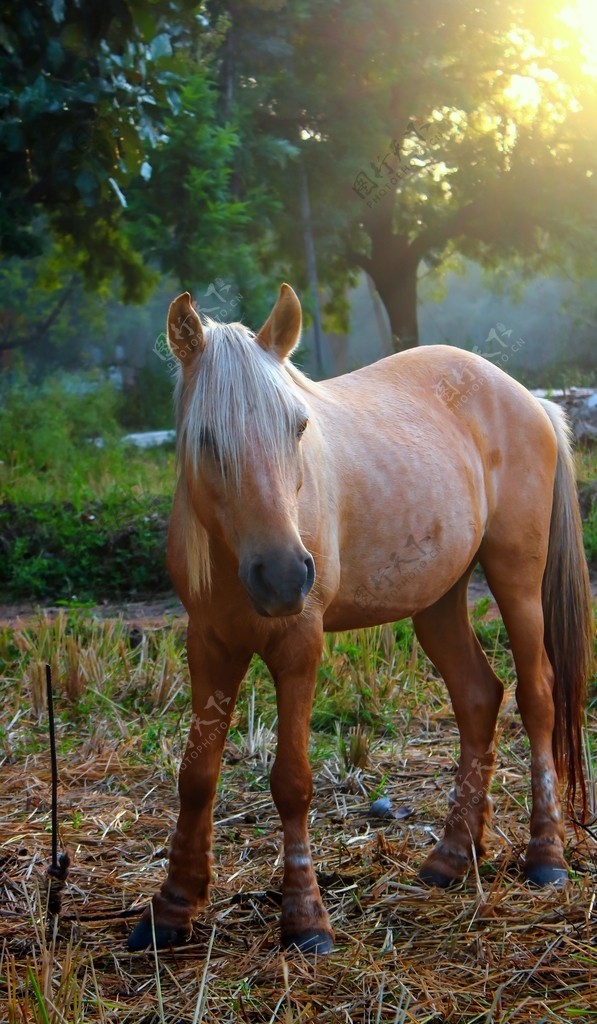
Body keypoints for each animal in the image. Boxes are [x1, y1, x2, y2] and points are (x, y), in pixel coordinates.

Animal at [127, 284, 593, 954]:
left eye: (297, 426)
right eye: (206, 438)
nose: (285, 576)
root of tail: (528, 399)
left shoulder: (299, 646)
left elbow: (292, 782)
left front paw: (305, 920)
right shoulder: (208, 645)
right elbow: (196, 776)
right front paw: (171, 909)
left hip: (517, 581)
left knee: (538, 697)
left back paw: (546, 856)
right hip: (439, 602)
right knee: (479, 697)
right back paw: (452, 857)